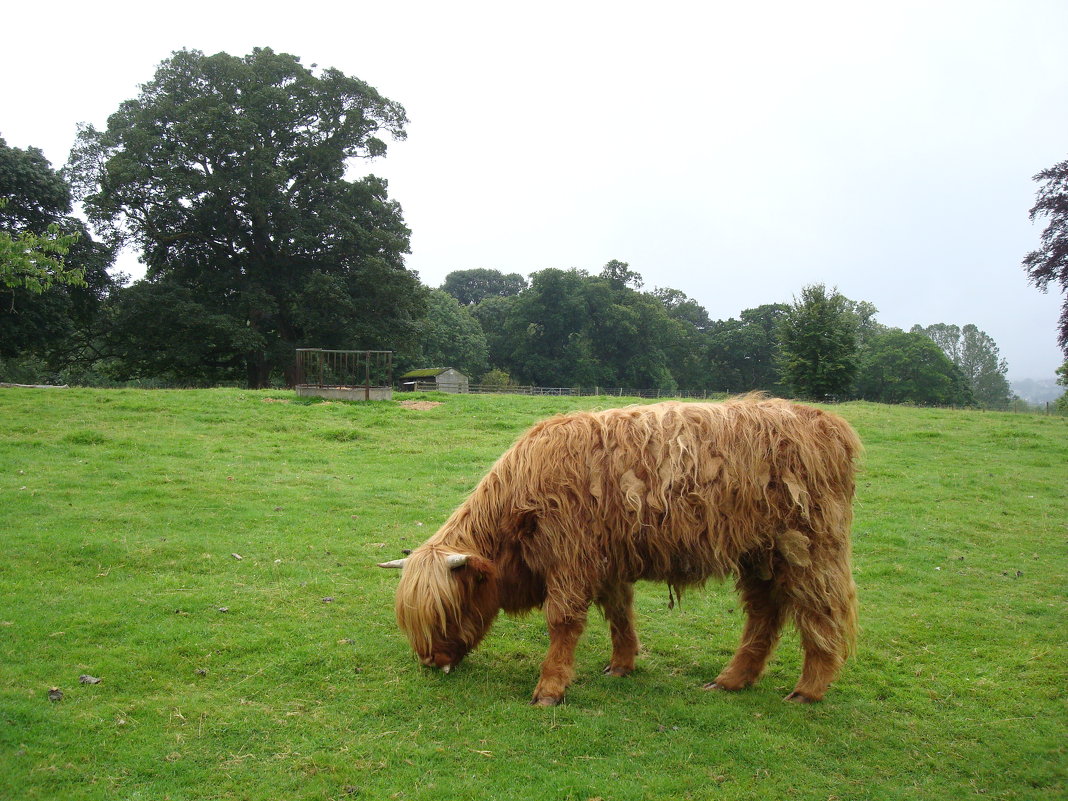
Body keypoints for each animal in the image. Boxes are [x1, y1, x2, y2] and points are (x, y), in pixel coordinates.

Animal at [380, 399, 862, 704]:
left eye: (448, 609)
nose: (432, 661)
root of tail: (828, 423)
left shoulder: (571, 557)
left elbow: (563, 621)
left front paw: (550, 689)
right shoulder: (606, 560)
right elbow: (618, 612)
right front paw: (622, 665)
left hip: (810, 548)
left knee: (823, 611)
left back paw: (808, 690)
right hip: (759, 555)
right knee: (764, 614)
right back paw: (731, 680)